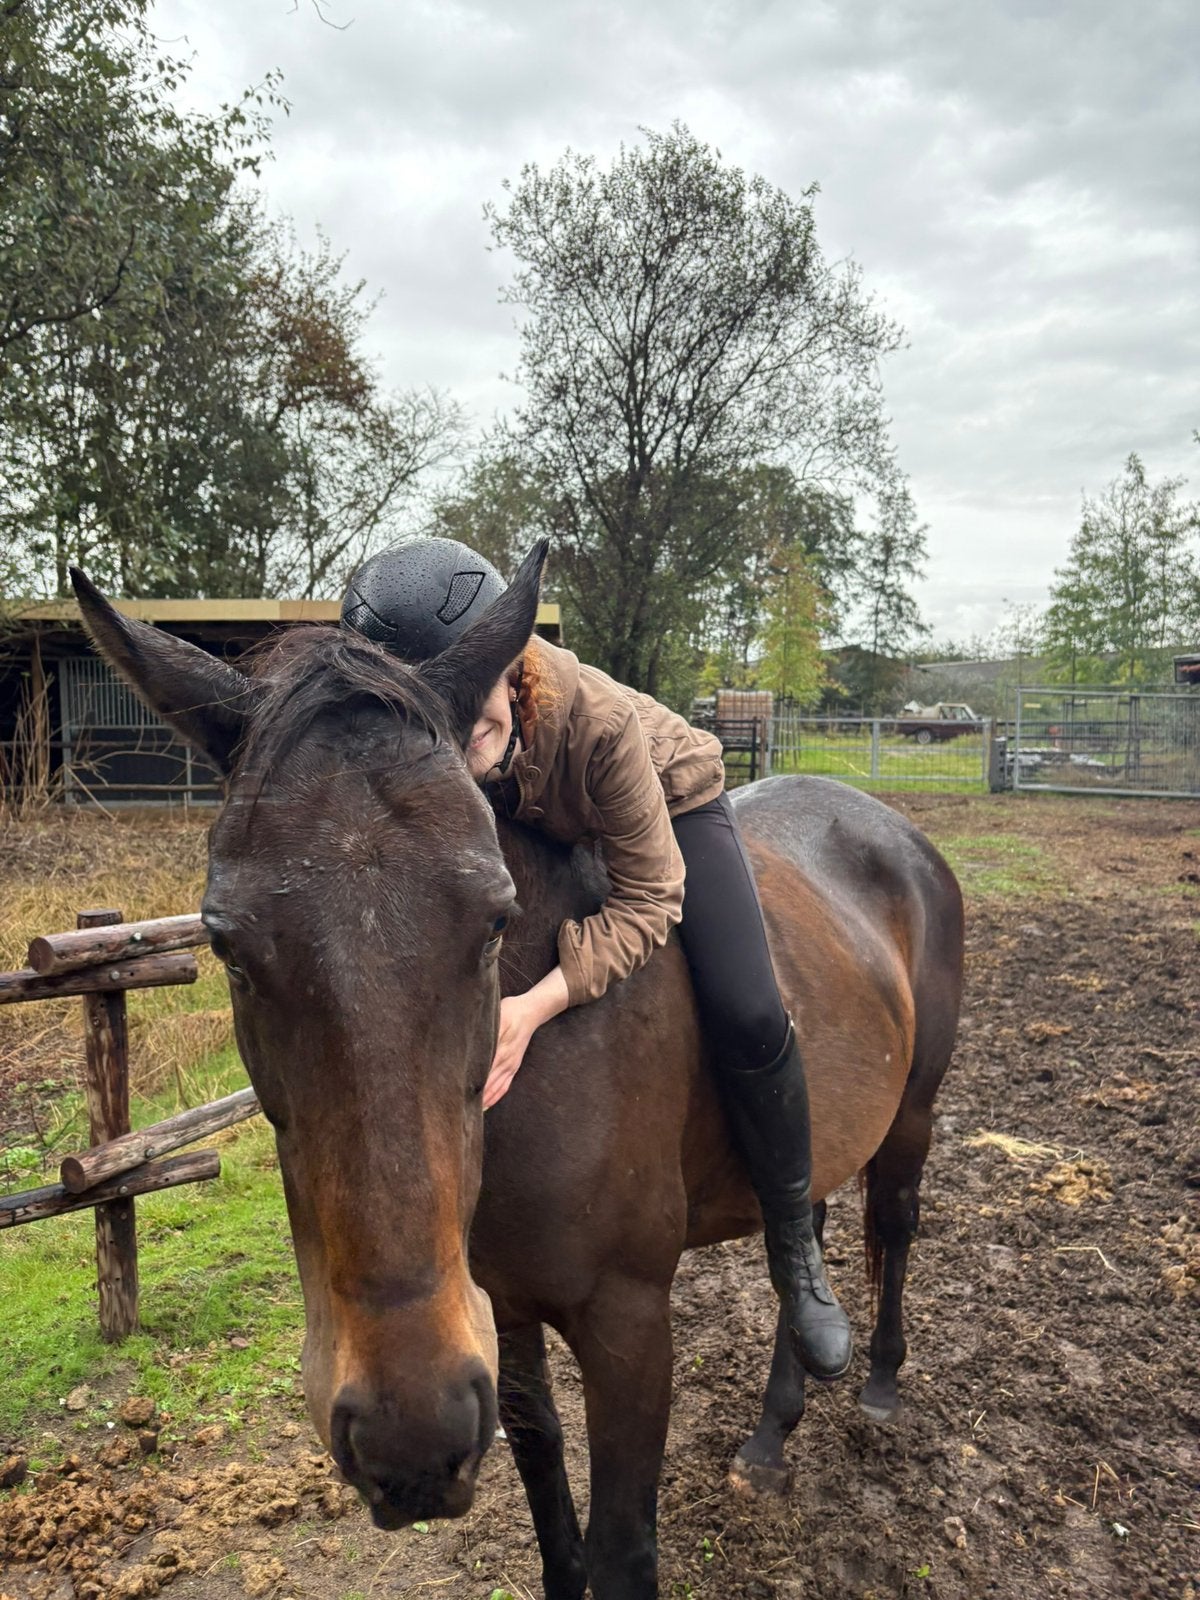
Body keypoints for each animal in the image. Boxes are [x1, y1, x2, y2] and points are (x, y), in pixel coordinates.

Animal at [72, 547, 963, 1600]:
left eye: (495, 920)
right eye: (225, 944)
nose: (406, 1435)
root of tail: (891, 830)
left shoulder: (628, 1323)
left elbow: (622, 1550)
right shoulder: (499, 1311)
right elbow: (546, 1490)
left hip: (910, 1112)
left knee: (891, 1220)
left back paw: (877, 1381)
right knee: (810, 1221)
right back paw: (774, 1431)